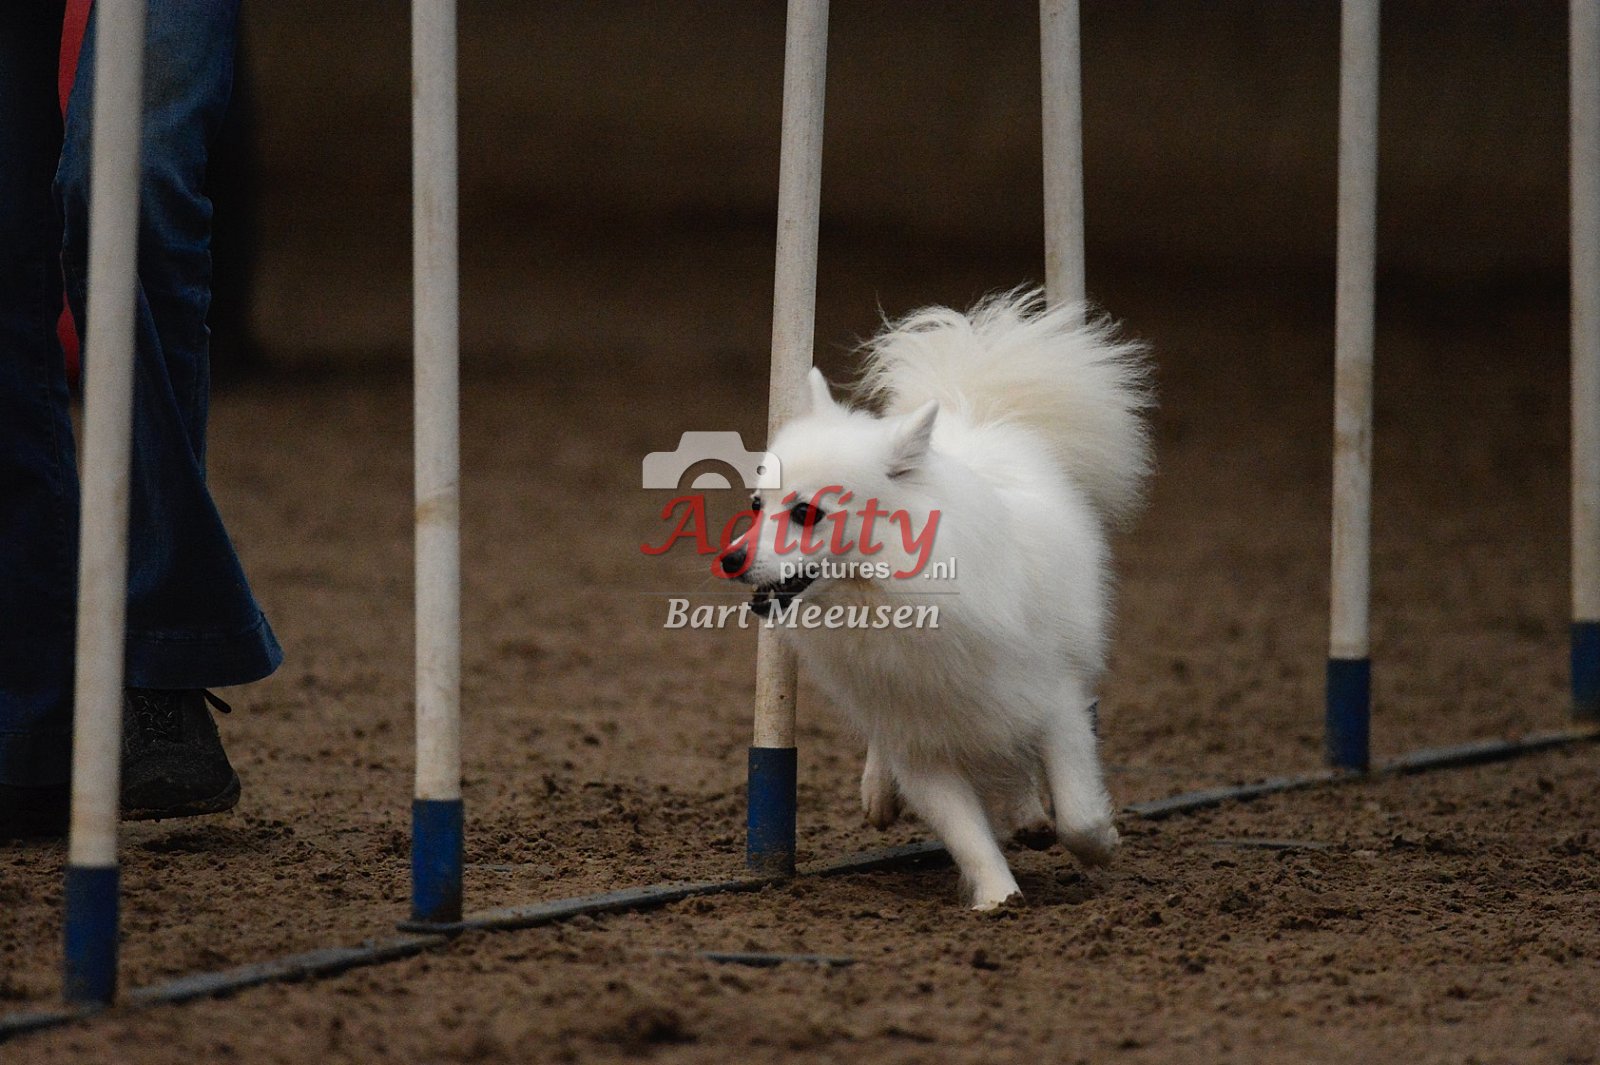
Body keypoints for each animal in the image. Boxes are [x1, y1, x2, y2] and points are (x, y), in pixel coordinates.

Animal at [719, 288, 1152, 909]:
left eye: (806, 512)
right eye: (757, 505)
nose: (729, 559)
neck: (886, 602)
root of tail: (973, 410)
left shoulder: (1053, 702)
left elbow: (1077, 814)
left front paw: (1103, 846)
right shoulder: (917, 737)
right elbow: (966, 832)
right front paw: (1000, 901)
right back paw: (882, 793)